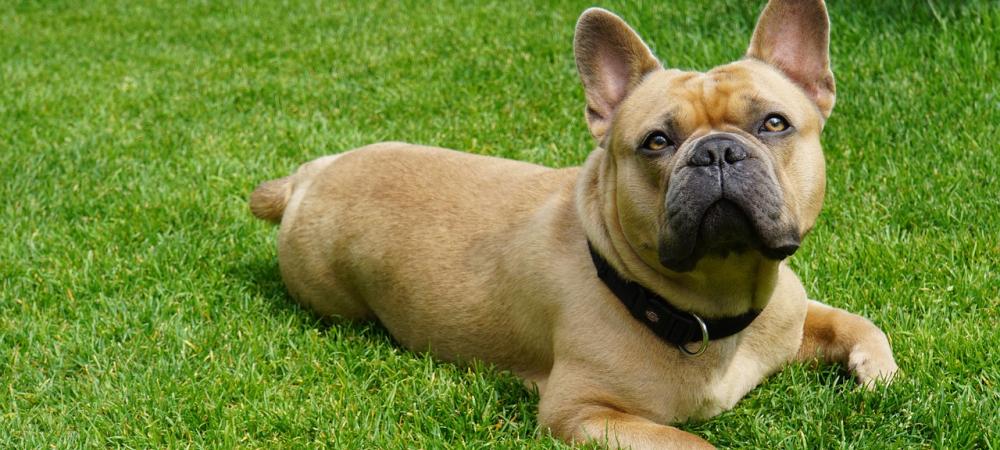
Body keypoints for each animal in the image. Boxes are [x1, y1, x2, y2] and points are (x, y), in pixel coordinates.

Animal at [250, 1, 900, 448]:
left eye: (774, 123)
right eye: (656, 142)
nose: (716, 151)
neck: (714, 308)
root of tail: (310, 175)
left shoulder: (793, 311)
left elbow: (856, 322)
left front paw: (881, 374)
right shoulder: (584, 412)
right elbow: (691, 441)